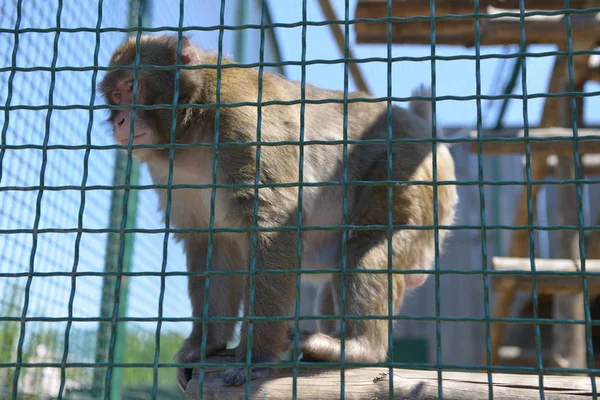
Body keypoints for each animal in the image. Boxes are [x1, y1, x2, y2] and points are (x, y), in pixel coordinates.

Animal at [98, 35, 458, 390]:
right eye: (116, 96)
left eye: (132, 86)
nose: (120, 120)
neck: (193, 126)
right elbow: (211, 244)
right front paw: (205, 345)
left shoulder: (243, 126)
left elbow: (273, 228)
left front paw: (254, 357)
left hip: (408, 174)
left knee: (365, 244)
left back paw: (358, 348)